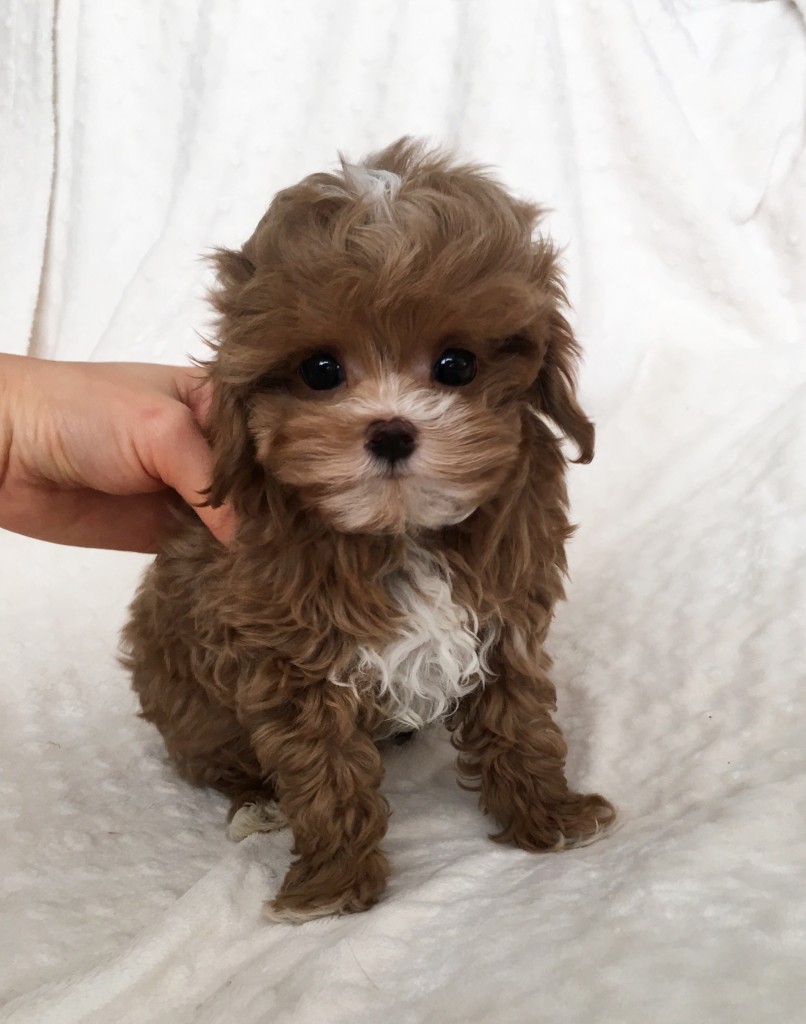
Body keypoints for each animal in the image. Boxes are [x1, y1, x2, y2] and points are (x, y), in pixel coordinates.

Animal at [119, 136, 614, 921]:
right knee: (221, 758)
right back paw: (254, 802)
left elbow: (519, 718)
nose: (390, 431)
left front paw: (548, 813)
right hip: (184, 694)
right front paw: (332, 884)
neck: (403, 528)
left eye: (456, 365)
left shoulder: (504, 616)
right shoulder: (286, 655)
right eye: (321, 370)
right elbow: (323, 772)